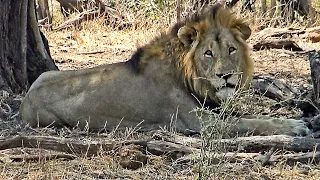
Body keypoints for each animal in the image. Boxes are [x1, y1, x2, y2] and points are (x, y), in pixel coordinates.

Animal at [20, 4, 310, 136]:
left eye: (231, 50)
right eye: (208, 53)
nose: (224, 76)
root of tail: (25, 99)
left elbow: (245, 114)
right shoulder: (199, 123)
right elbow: (250, 122)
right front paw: (295, 126)